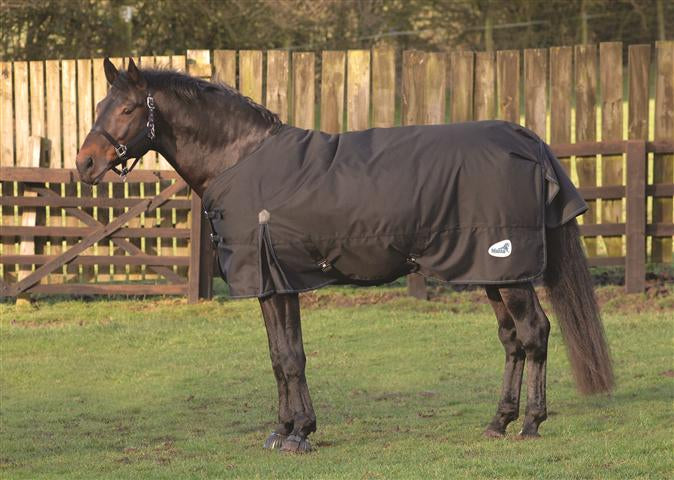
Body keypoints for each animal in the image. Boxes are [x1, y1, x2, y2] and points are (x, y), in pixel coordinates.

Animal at [76, 58, 614, 453]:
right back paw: (498, 422)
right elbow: (279, 356)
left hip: (509, 269)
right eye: (102, 104)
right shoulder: (272, 284)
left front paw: (298, 434)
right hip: (490, 271)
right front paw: (283, 430)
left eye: (128, 108)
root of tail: (528, 140)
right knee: (511, 339)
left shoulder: (278, 280)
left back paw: (530, 423)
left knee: (534, 332)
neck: (240, 159)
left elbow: (291, 357)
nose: (84, 164)